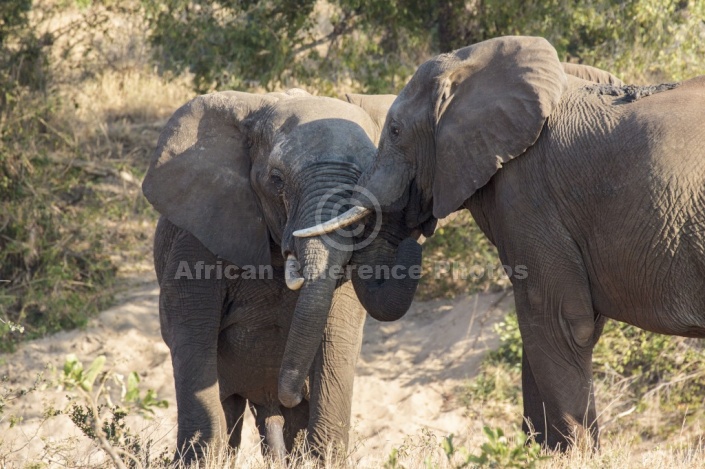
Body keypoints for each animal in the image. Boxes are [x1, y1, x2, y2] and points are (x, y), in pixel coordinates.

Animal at [140, 88, 420, 460]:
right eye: (277, 181)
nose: (412, 245)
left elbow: (336, 333)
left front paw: (322, 458)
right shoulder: (197, 234)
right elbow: (191, 331)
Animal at [296, 34, 704, 448]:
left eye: (394, 131)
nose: (416, 243)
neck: (474, 61)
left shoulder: (529, 194)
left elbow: (556, 318)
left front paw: (568, 453)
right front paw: (543, 451)